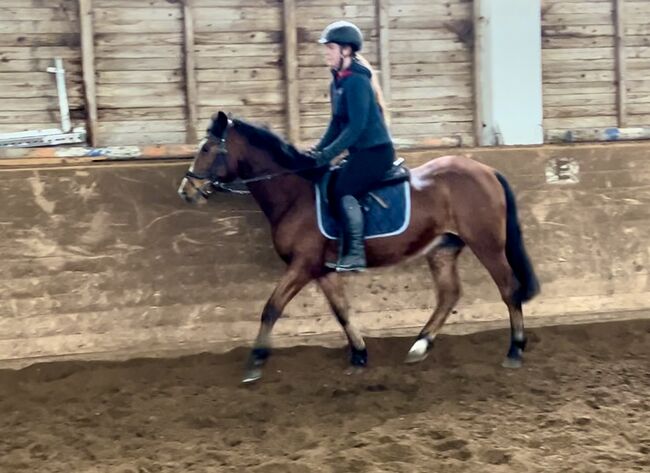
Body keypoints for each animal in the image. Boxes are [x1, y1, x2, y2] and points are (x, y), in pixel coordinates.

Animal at [176, 111, 536, 384]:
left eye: (207, 148)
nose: (186, 191)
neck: (295, 195)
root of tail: (486, 170)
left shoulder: (302, 266)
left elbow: (271, 308)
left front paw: (255, 362)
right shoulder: (321, 270)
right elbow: (342, 310)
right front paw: (360, 354)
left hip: (487, 244)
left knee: (508, 288)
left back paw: (515, 350)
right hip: (443, 248)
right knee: (449, 294)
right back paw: (420, 345)